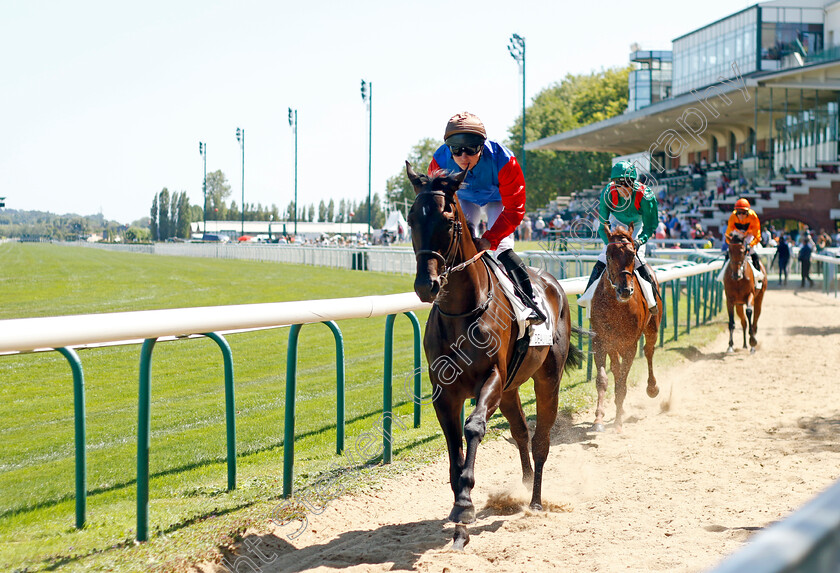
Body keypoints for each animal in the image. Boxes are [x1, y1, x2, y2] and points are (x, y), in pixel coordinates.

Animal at [404, 163, 580, 524]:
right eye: (412, 218)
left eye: (448, 221)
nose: (426, 285)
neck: (461, 313)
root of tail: (553, 283)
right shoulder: (444, 391)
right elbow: (452, 439)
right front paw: (459, 496)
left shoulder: (493, 378)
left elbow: (473, 427)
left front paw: (466, 500)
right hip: (511, 388)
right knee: (521, 431)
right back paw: (524, 486)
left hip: (547, 378)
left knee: (541, 438)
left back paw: (535, 501)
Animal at [592, 226, 664, 432]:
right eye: (609, 255)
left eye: (632, 254)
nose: (625, 290)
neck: (616, 306)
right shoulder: (600, 340)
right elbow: (603, 379)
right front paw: (599, 418)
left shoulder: (630, 344)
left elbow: (622, 385)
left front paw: (617, 422)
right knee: (616, 368)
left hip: (652, 328)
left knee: (648, 351)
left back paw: (652, 387)